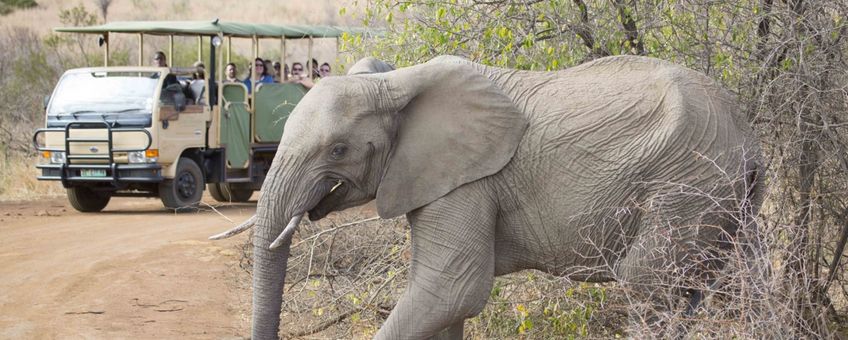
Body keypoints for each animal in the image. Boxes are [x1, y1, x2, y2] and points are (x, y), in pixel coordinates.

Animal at [210, 54, 760, 338]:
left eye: (338, 149)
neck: (394, 80)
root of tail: (748, 133)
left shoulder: (469, 181)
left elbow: (450, 290)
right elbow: (446, 305)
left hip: (685, 184)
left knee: (648, 285)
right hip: (728, 197)